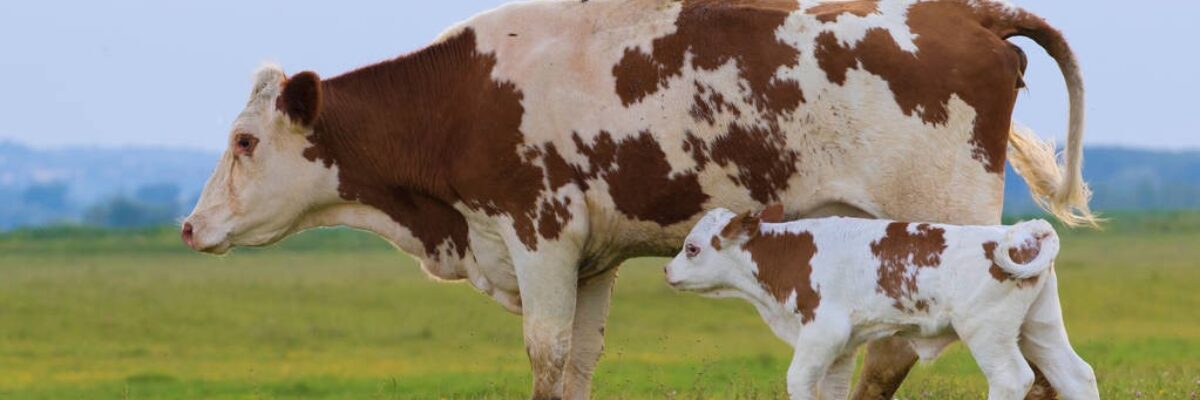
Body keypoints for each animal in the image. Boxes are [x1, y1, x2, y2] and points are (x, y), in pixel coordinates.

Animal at [665, 206, 1099, 400]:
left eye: (692, 248)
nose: (667, 271)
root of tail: (1023, 231)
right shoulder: (841, 346)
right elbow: (833, 389)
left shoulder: (822, 331)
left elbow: (799, 380)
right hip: (1039, 327)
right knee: (1076, 375)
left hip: (987, 332)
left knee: (1012, 378)